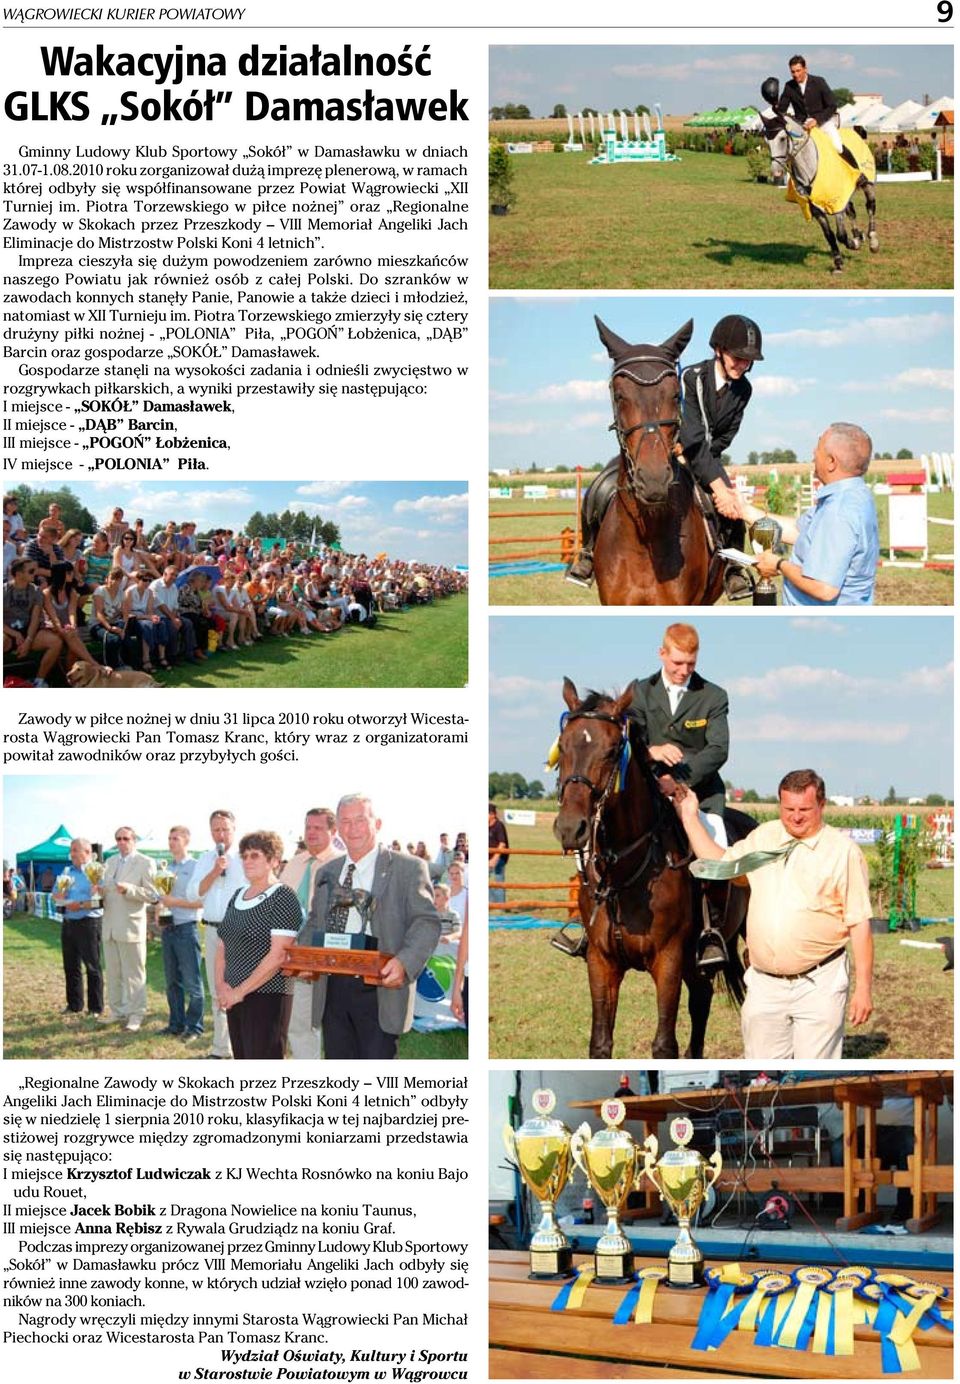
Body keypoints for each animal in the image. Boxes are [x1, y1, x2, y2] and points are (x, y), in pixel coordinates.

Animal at [553, 678, 746, 1057]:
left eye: (613, 750)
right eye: (563, 747)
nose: (570, 828)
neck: (624, 871)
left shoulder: (668, 960)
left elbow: (664, 1044)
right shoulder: (600, 962)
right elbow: (600, 1042)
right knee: (702, 1000)